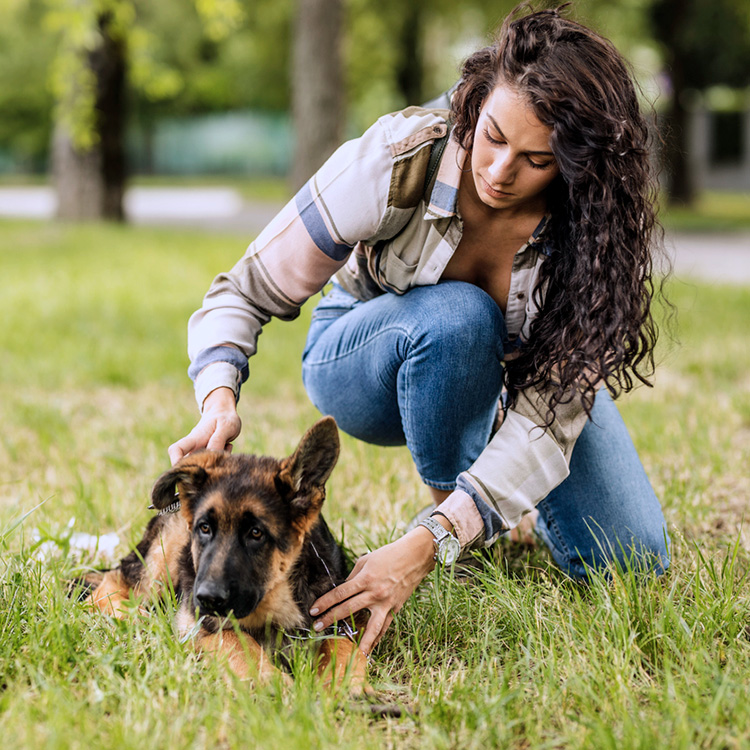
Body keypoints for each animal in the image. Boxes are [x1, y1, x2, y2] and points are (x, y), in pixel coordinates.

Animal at [77, 418, 370, 692]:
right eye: (205, 528)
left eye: (256, 533)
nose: (207, 598)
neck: (277, 599)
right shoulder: (202, 623)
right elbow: (237, 641)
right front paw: (269, 682)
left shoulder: (338, 616)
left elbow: (342, 647)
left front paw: (349, 687)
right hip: (162, 561)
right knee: (112, 584)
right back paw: (140, 617)